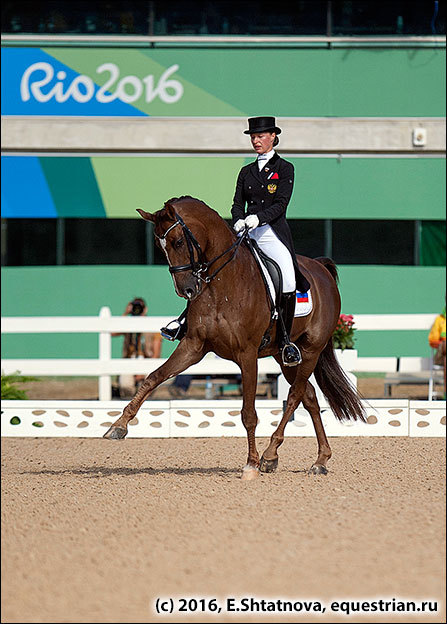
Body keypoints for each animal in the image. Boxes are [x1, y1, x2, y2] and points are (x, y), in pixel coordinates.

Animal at [105, 197, 368, 480]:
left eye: (178, 242)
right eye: (158, 245)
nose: (186, 290)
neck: (222, 283)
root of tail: (321, 269)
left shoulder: (247, 354)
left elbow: (248, 413)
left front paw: (251, 464)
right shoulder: (193, 346)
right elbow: (154, 377)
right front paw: (118, 426)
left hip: (310, 351)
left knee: (295, 395)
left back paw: (270, 455)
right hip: (285, 356)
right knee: (309, 396)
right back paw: (318, 459)